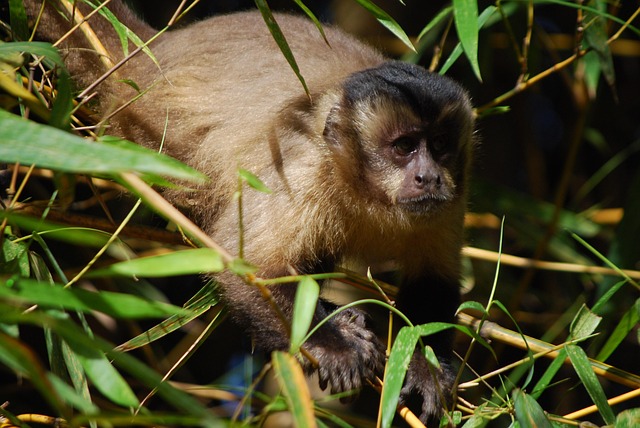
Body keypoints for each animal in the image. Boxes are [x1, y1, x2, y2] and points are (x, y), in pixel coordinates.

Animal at [23, 0, 475, 422]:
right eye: (404, 147)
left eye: (439, 146)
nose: (429, 177)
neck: (363, 191)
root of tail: (155, 53)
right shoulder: (304, 165)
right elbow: (245, 265)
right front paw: (331, 343)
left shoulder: (453, 196)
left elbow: (433, 280)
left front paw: (425, 366)